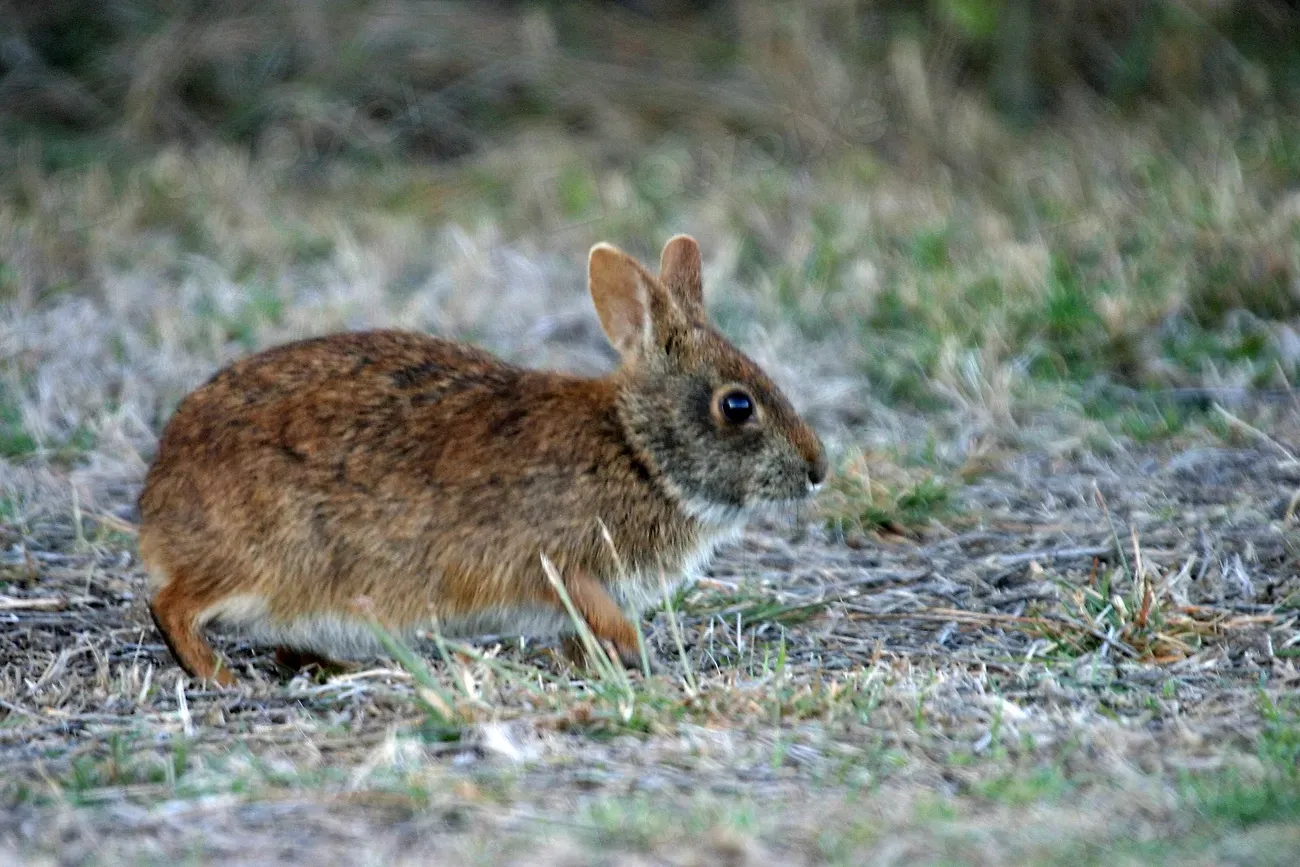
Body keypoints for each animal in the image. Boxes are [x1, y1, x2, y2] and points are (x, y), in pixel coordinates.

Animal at [137, 235, 827, 686]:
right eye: (737, 406)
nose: (818, 470)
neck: (637, 450)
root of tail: (156, 506)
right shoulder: (560, 558)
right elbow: (594, 609)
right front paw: (641, 654)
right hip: (269, 558)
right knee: (171, 604)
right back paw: (219, 677)